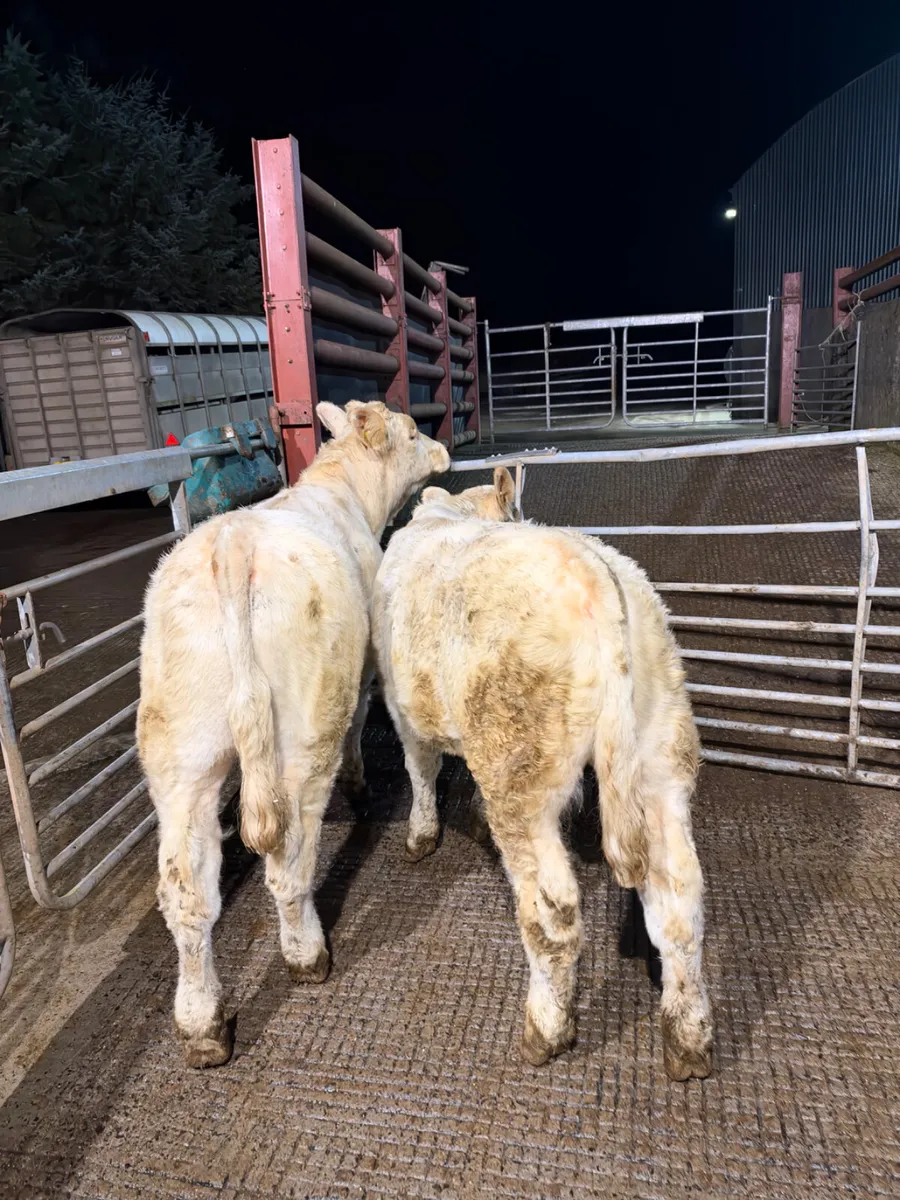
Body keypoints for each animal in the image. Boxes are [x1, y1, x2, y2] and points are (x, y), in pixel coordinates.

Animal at [137, 401, 450, 1068]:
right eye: (414, 431)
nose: (441, 450)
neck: (344, 492)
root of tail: (231, 544)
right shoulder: (361, 673)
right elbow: (359, 725)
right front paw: (360, 787)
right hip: (303, 733)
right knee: (290, 862)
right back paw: (307, 953)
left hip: (179, 753)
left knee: (186, 894)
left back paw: (202, 1025)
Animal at [371, 467, 712, 1081]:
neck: (451, 514)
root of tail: (594, 582)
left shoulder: (403, 706)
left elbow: (420, 768)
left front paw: (421, 833)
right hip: (662, 754)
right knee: (679, 897)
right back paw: (688, 1039)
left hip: (522, 775)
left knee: (554, 913)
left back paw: (546, 1029)